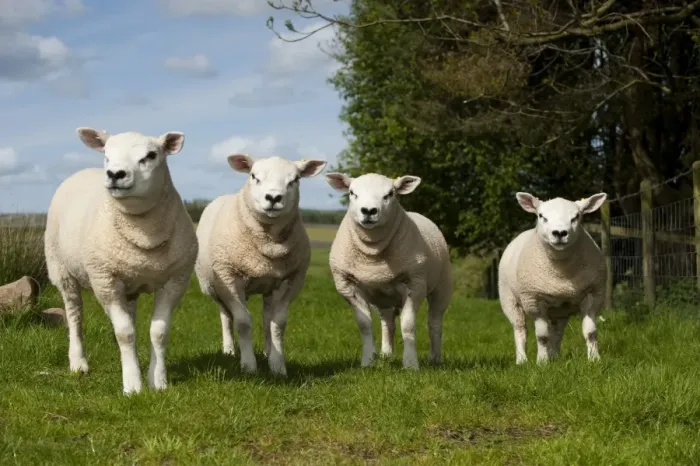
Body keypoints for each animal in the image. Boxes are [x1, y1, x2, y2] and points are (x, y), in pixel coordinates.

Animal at [44, 128, 197, 394]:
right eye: (106, 154)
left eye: (151, 155)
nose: (115, 173)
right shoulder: (105, 279)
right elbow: (125, 332)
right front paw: (133, 385)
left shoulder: (176, 279)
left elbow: (158, 332)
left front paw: (157, 381)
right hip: (61, 270)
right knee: (74, 315)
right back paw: (78, 362)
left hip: (129, 284)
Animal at [195, 154, 327, 376]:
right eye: (254, 176)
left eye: (295, 180)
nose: (273, 197)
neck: (268, 248)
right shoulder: (229, 278)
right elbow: (242, 322)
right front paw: (248, 366)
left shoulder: (290, 280)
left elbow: (277, 324)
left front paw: (278, 365)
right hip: (215, 286)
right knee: (226, 316)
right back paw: (229, 350)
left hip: (268, 288)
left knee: (266, 319)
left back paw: (267, 352)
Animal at [325, 172, 453, 370]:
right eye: (352, 192)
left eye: (390, 194)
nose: (369, 211)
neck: (373, 255)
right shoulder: (347, 285)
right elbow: (365, 325)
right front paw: (368, 362)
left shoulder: (414, 284)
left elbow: (408, 325)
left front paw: (410, 364)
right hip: (382, 297)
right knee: (388, 323)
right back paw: (386, 355)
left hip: (442, 285)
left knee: (435, 322)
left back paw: (435, 358)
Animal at [498, 192, 608, 365]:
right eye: (541, 216)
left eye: (576, 216)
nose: (560, 233)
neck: (561, 275)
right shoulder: (534, 299)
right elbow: (542, 336)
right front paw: (542, 362)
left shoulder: (593, 294)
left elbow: (590, 332)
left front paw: (594, 359)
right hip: (509, 299)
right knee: (520, 328)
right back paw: (522, 360)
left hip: (560, 309)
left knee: (557, 332)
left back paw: (554, 356)